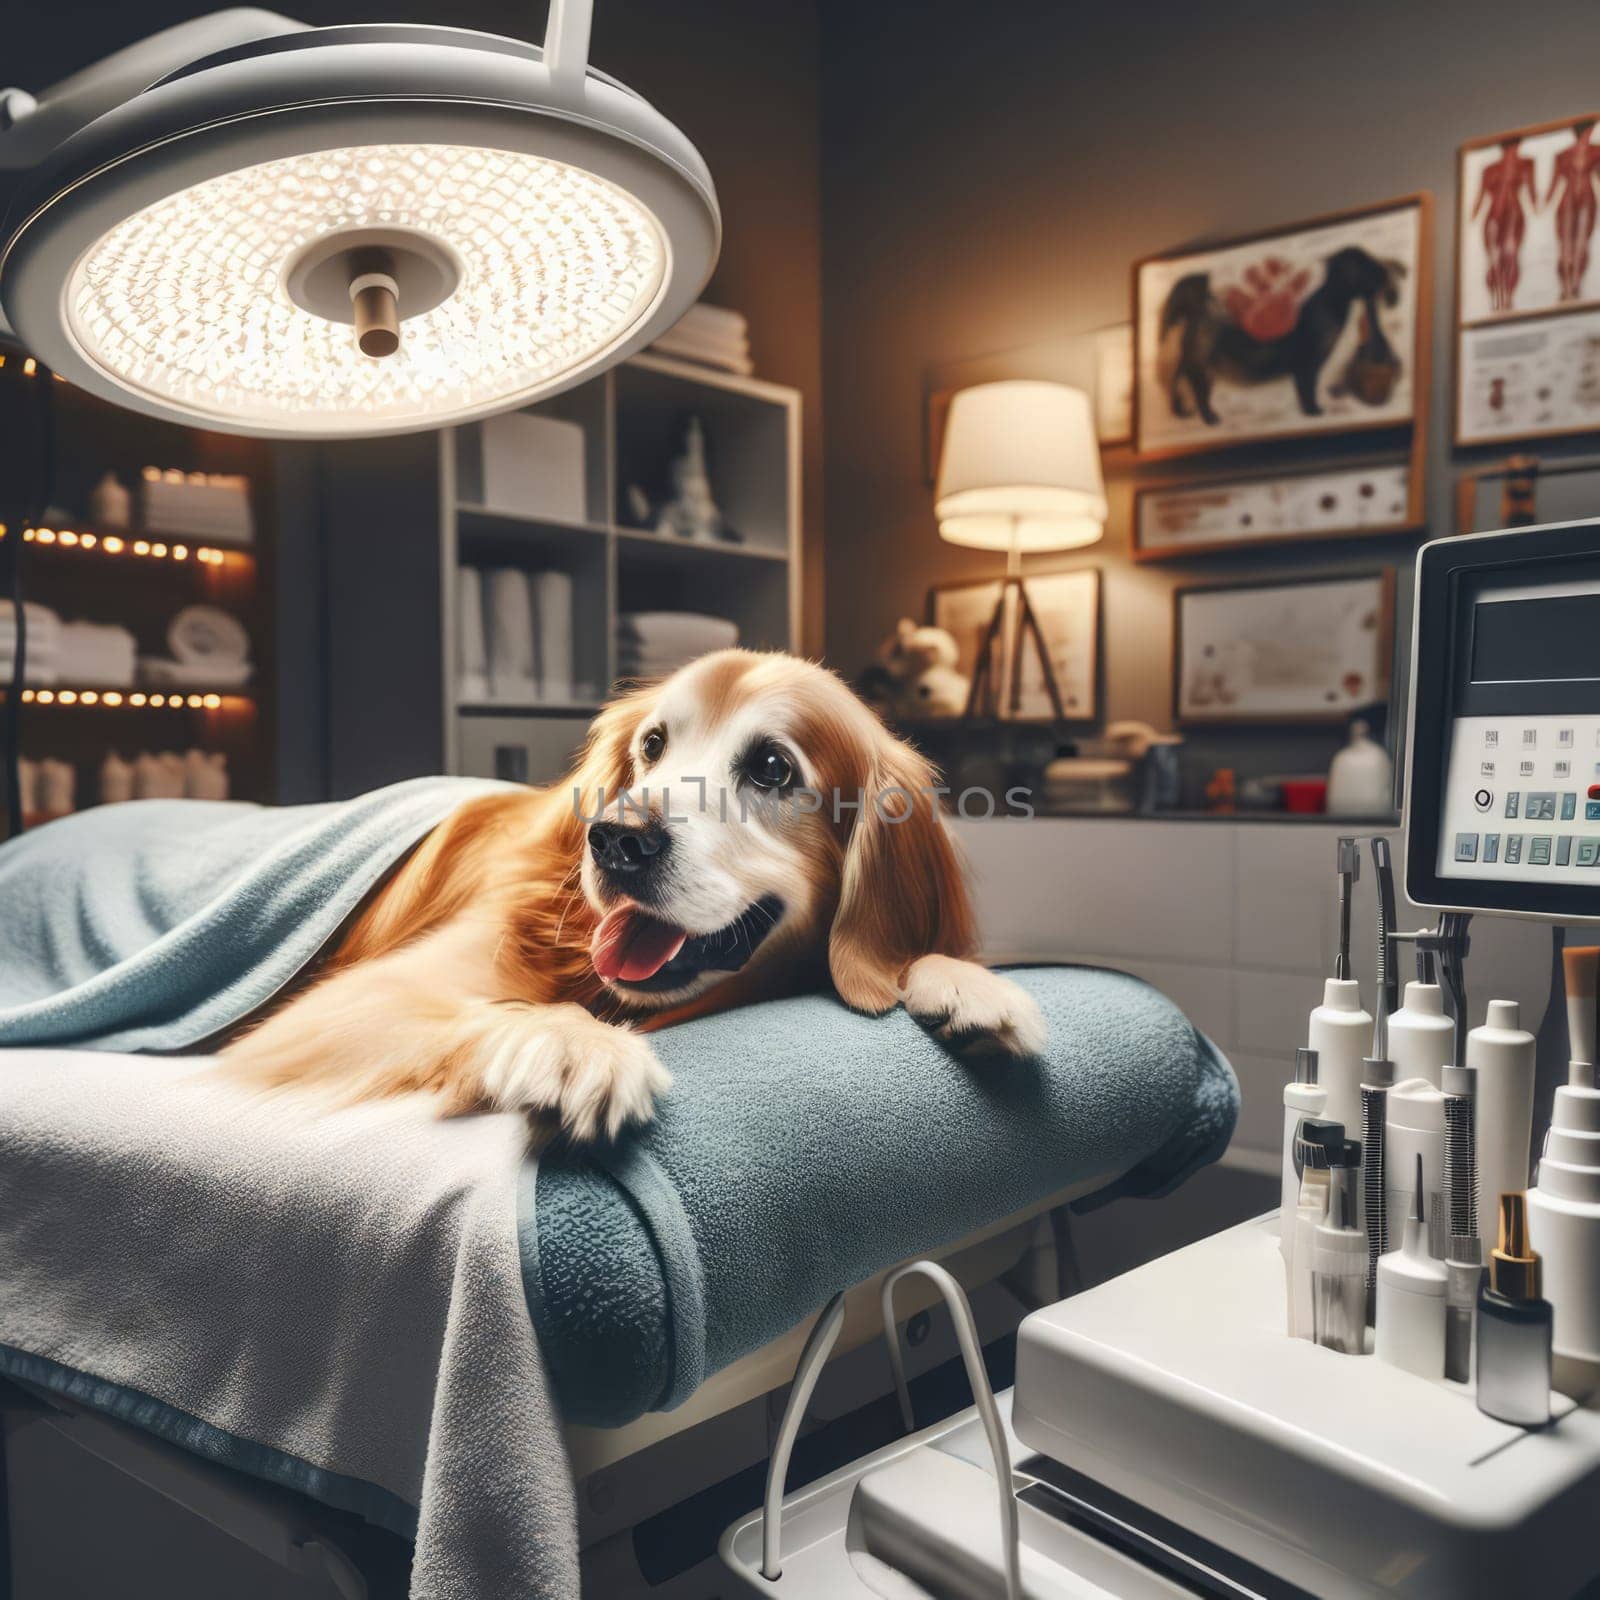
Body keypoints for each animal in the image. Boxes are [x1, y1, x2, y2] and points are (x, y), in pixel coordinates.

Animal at [228, 646, 1049, 1139]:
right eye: (652, 745)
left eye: (773, 768)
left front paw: (965, 982)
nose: (617, 839)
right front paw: (573, 1043)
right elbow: (497, 1010)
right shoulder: (338, 1006)